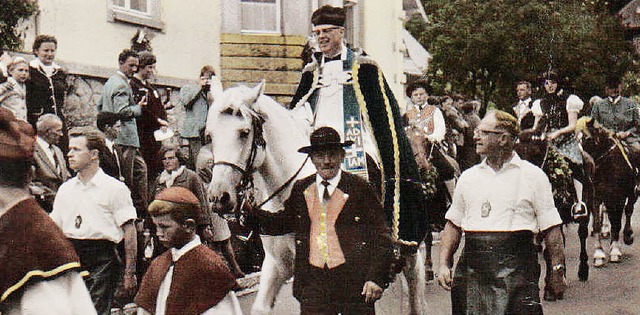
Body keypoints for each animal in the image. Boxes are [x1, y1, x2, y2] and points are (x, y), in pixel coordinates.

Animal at [576, 117, 636, 268]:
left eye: (588, 139)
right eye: (577, 140)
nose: (586, 169)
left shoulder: (619, 197)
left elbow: (617, 222)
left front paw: (615, 250)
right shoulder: (596, 197)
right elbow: (597, 223)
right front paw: (599, 253)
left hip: (631, 193)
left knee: (629, 210)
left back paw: (628, 235)